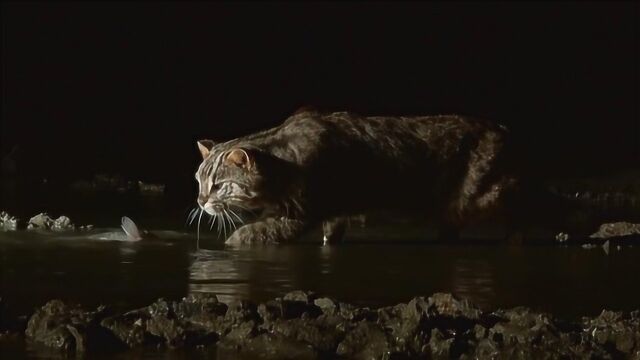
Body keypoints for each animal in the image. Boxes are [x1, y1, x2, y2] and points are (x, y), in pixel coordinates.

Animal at [194, 107, 596, 245]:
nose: (199, 201)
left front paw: (235, 242)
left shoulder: (303, 211)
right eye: (198, 181)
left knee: (539, 205)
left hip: (486, 195)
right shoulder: (334, 212)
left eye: (218, 185)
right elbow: (331, 233)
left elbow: (258, 231)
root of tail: (505, 131)